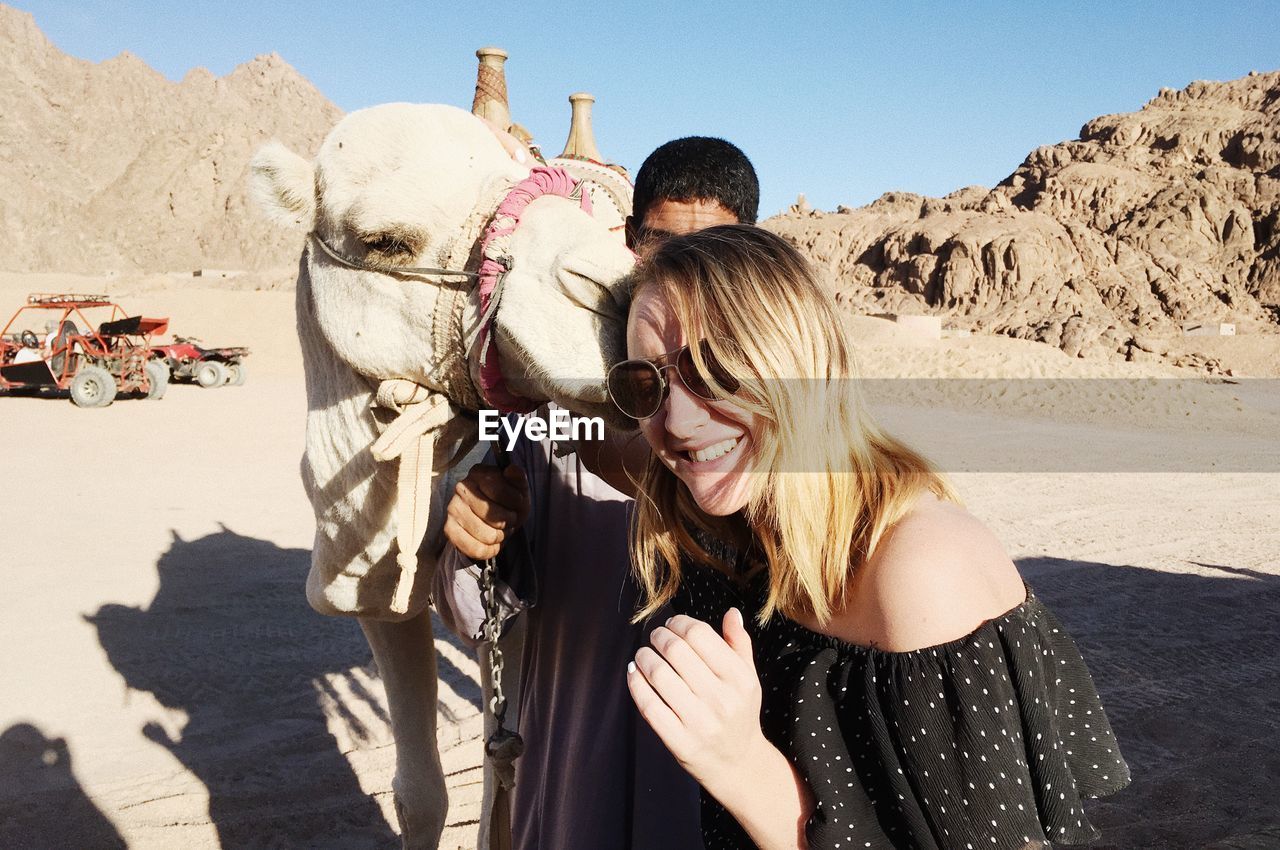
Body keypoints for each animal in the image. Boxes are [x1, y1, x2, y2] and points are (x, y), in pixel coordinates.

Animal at [249, 101, 634, 850]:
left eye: (524, 176)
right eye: (384, 241)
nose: (623, 296)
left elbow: (499, 775)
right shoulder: (374, 590)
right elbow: (420, 793)